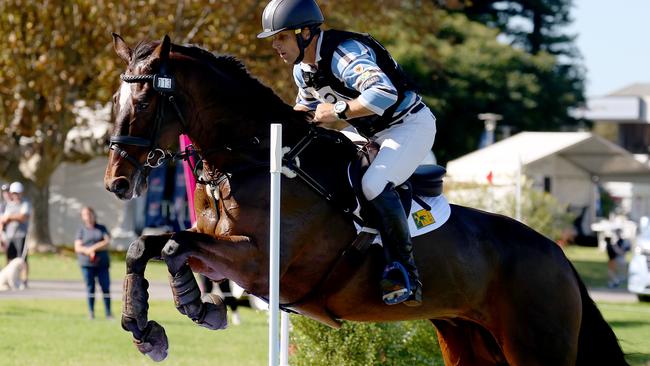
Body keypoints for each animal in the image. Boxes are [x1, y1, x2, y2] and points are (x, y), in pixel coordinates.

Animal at [104, 33, 624, 364]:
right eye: (114, 102)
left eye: (145, 102)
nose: (116, 183)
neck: (249, 159)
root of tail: (559, 256)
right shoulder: (218, 247)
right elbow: (148, 246)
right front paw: (148, 327)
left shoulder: (258, 262)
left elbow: (175, 245)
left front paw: (195, 308)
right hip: (470, 341)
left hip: (535, 348)